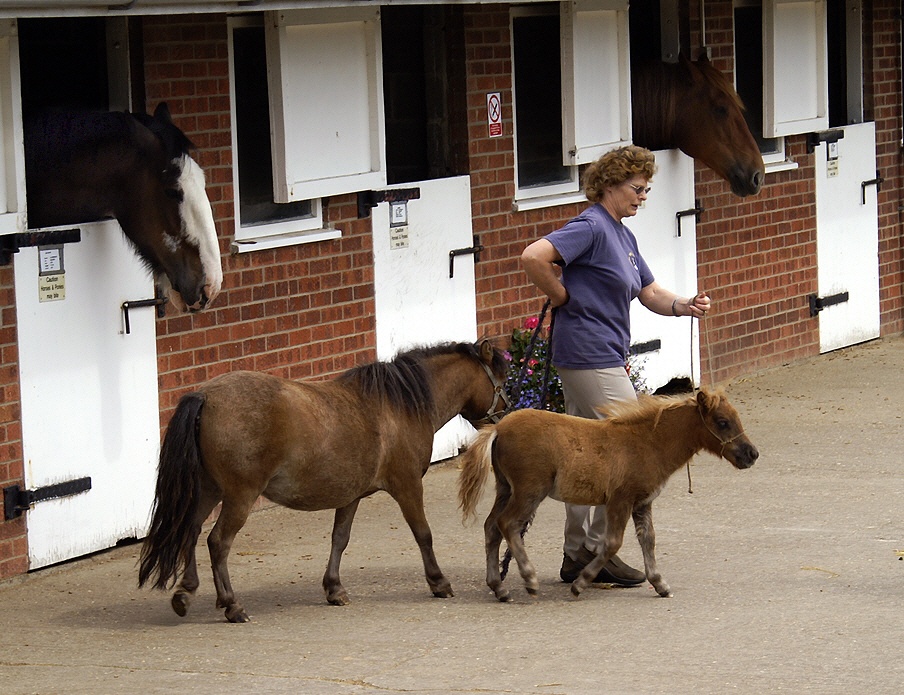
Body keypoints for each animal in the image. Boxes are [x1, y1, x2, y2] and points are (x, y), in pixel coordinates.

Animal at [139, 339, 509, 623]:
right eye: (501, 381)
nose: (506, 416)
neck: (398, 406)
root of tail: (205, 396)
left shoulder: (351, 495)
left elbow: (339, 539)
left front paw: (334, 588)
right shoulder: (406, 486)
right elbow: (423, 534)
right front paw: (438, 582)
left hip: (208, 490)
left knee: (189, 530)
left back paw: (186, 593)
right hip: (239, 495)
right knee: (217, 542)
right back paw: (232, 605)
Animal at [457, 389, 758, 603]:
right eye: (722, 422)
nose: (752, 454)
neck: (647, 443)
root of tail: (498, 428)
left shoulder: (642, 503)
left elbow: (648, 540)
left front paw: (660, 583)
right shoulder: (620, 501)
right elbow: (613, 543)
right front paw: (580, 585)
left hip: (506, 489)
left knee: (491, 527)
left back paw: (499, 589)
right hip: (529, 491)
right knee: (507, 524)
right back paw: (529, 580)